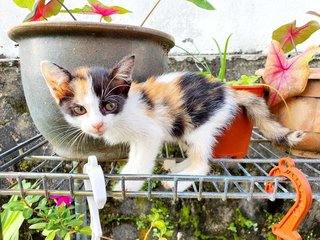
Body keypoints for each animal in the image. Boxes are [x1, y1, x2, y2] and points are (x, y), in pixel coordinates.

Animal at [41, 54, 304, 191]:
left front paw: (131, 185)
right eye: (80, 109)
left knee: (203, 164)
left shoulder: (150, 134)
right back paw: (179, 168)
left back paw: (177, 183)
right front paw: (128, 174)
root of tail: (230, 90)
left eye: (109, 106)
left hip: (200, 124)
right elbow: (135, 157)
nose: (97, 125)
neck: (124, 113)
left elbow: (143, 161)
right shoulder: (137, 140)